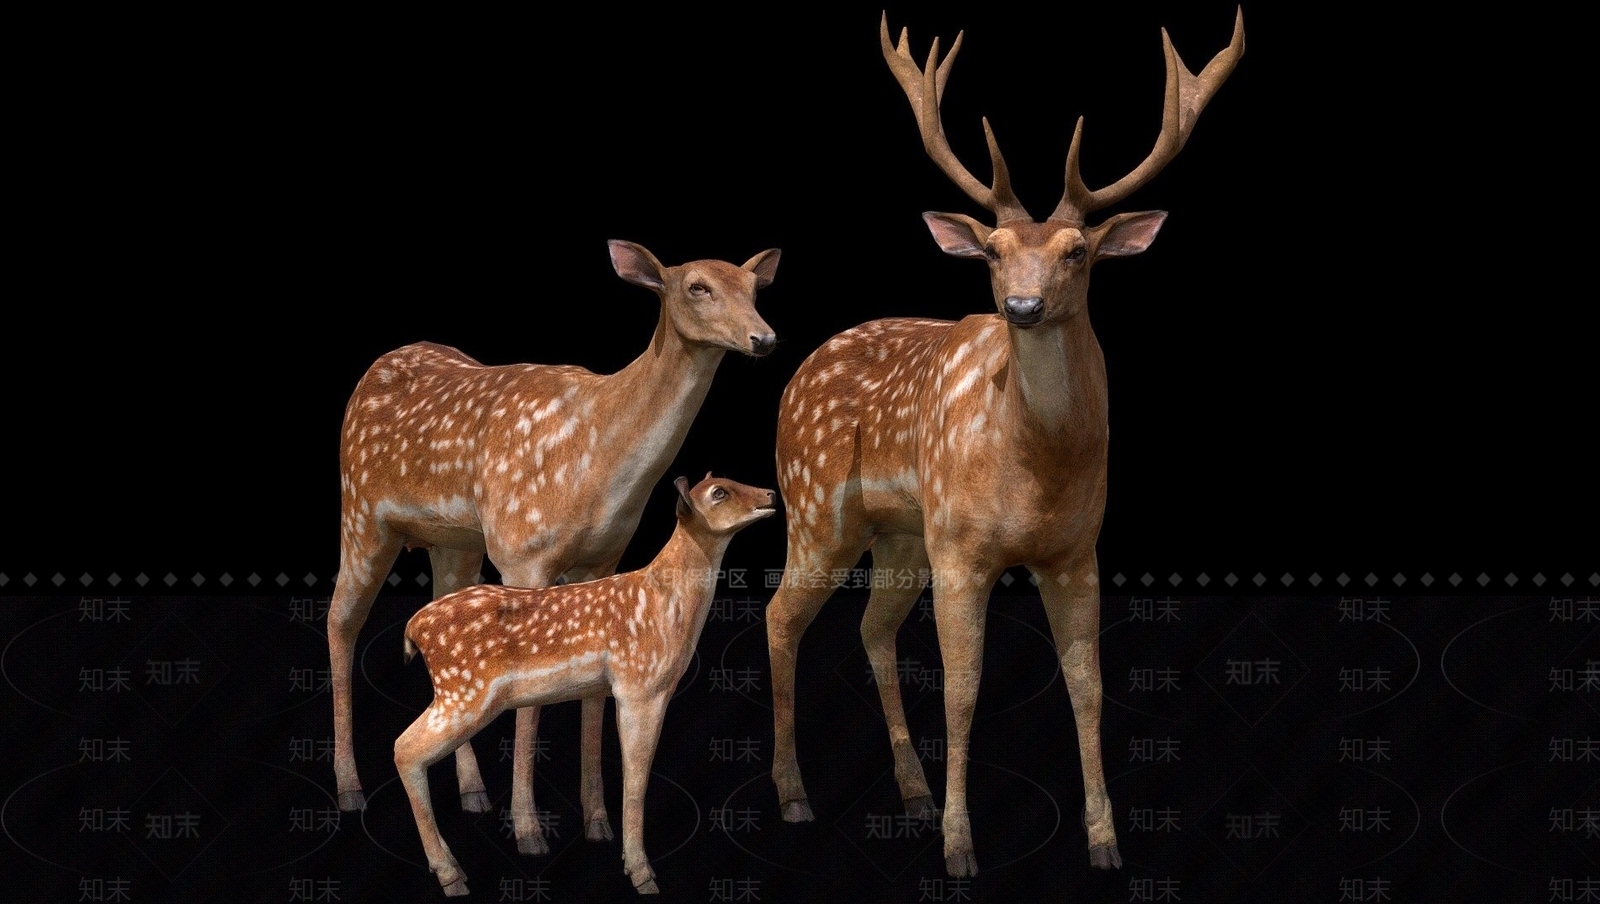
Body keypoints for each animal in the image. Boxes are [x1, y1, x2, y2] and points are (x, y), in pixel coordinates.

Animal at [395, 475, 778, 896]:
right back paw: (452, 875)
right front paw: (642, 875)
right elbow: (635, 776)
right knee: (405, 748)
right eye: (719, 493)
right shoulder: (638, 684)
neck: (666, 605)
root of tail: (413, 630)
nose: (770, 495)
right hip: (464, 689)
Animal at [763, 9, 1243, 878]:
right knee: (783, 616)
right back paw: (794, 794)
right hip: (816, 506)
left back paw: (913, 795)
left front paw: (1104, 840)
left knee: (870, 627)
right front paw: (961, 848)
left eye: (1077, 252)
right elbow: (963, 685)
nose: (1020, 305)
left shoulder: (1079, 549)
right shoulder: (964, 548)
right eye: (991, 251)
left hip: (901, 534)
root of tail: (798, 373)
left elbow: (1087, 685)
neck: (1034, 475)